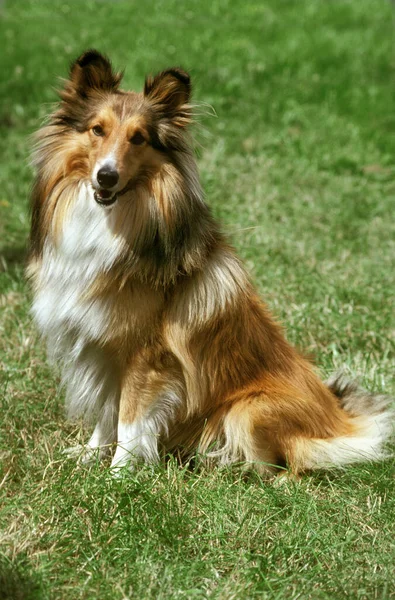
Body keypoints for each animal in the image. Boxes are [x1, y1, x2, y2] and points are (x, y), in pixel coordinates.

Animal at [27, 50, 392, 474]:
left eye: (138, 138)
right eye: (97, 130)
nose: (106, 177)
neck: (112, 221)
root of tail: (342, 422)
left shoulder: (145, 356)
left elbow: (130, 419)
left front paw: (119, 475)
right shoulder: (100, 349)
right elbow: (107, 412)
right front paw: (88, 458)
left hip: (247, 411)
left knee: (294, 461)